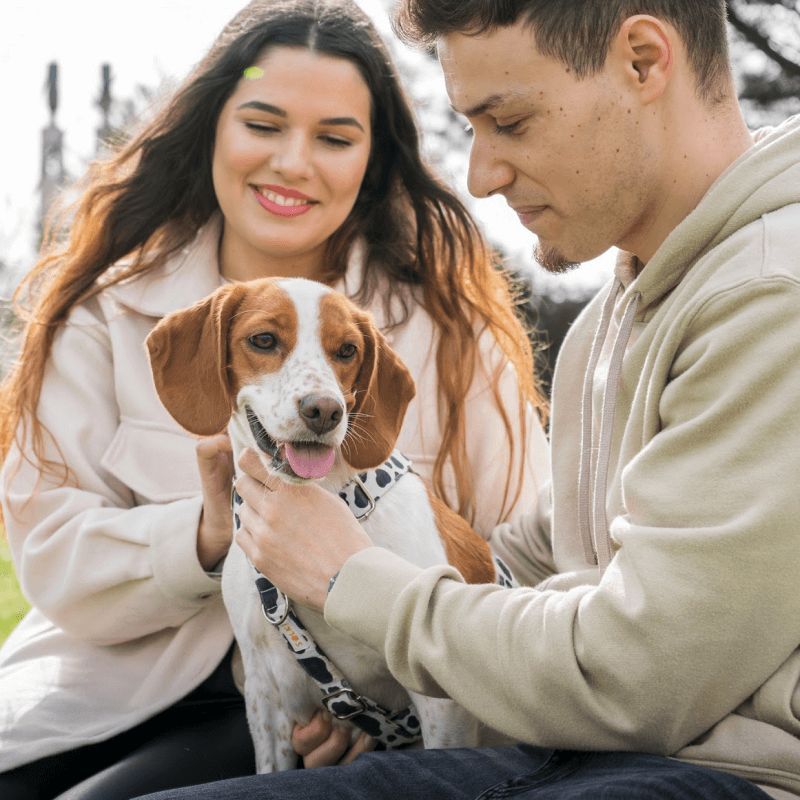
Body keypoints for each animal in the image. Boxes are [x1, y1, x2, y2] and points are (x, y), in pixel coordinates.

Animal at [145, 278, 512, 772]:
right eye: (264, 340)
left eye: (347, 350)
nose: (324, 410)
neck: (329, 497)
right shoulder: (266, 692)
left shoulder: (441, 704)